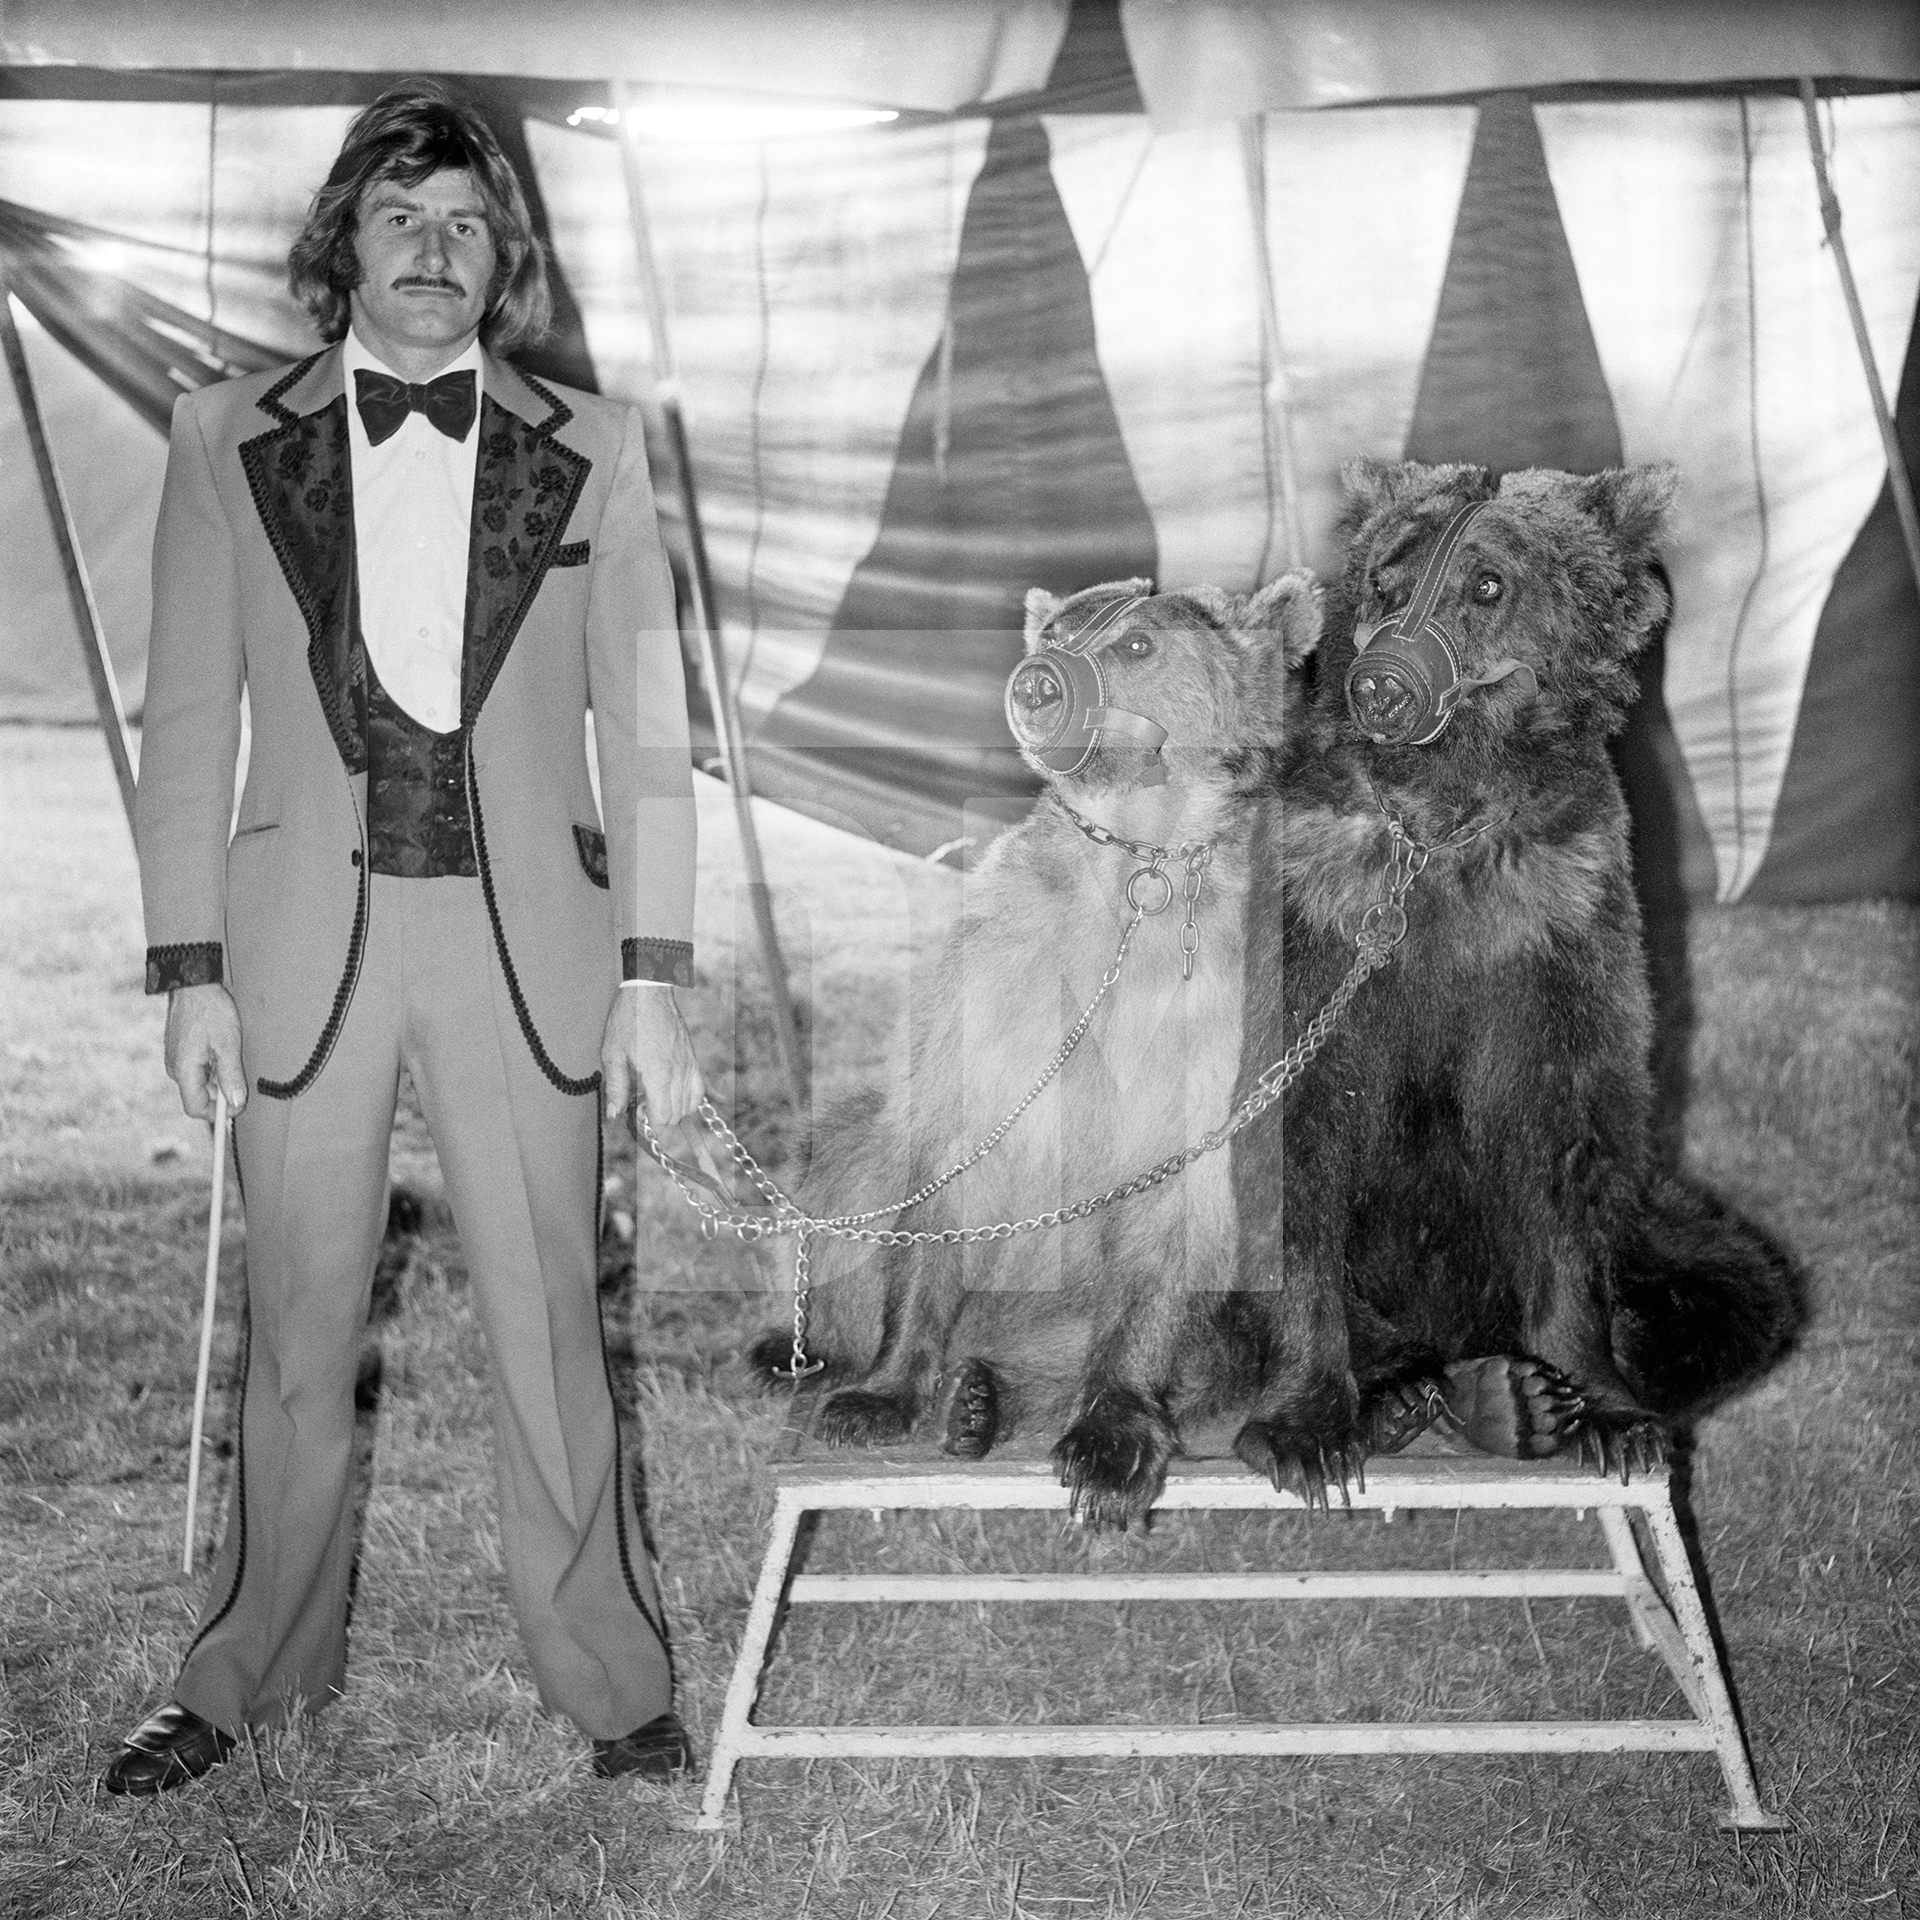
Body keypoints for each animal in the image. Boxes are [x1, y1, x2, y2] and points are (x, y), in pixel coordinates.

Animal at [756, 568, 1328, 1482]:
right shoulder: (1001, 975)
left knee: (1227, 1340)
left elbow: (1176, 1204)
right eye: (1056, 633)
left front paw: (1111, 1436)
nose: (1037, 683)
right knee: (847, 1159)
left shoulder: (1227, 1013)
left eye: (1137, 642)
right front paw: (881, 1391)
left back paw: (991, 1398)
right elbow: (951, 1159)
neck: (1139, 868)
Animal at [1228, 456, 1797, 1505]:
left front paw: (1604, 1410)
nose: (1382, 685)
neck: (1441, 823)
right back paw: (1411, 1389)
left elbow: (1563, 1141)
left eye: (1486, 583)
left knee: (1739, 1287)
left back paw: (1517, 1397)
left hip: (1654, 1228)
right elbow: (1298, 1147)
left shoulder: (1556, 925)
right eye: (1386, 580)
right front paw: (1303, 1430)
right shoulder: (1320, 917)